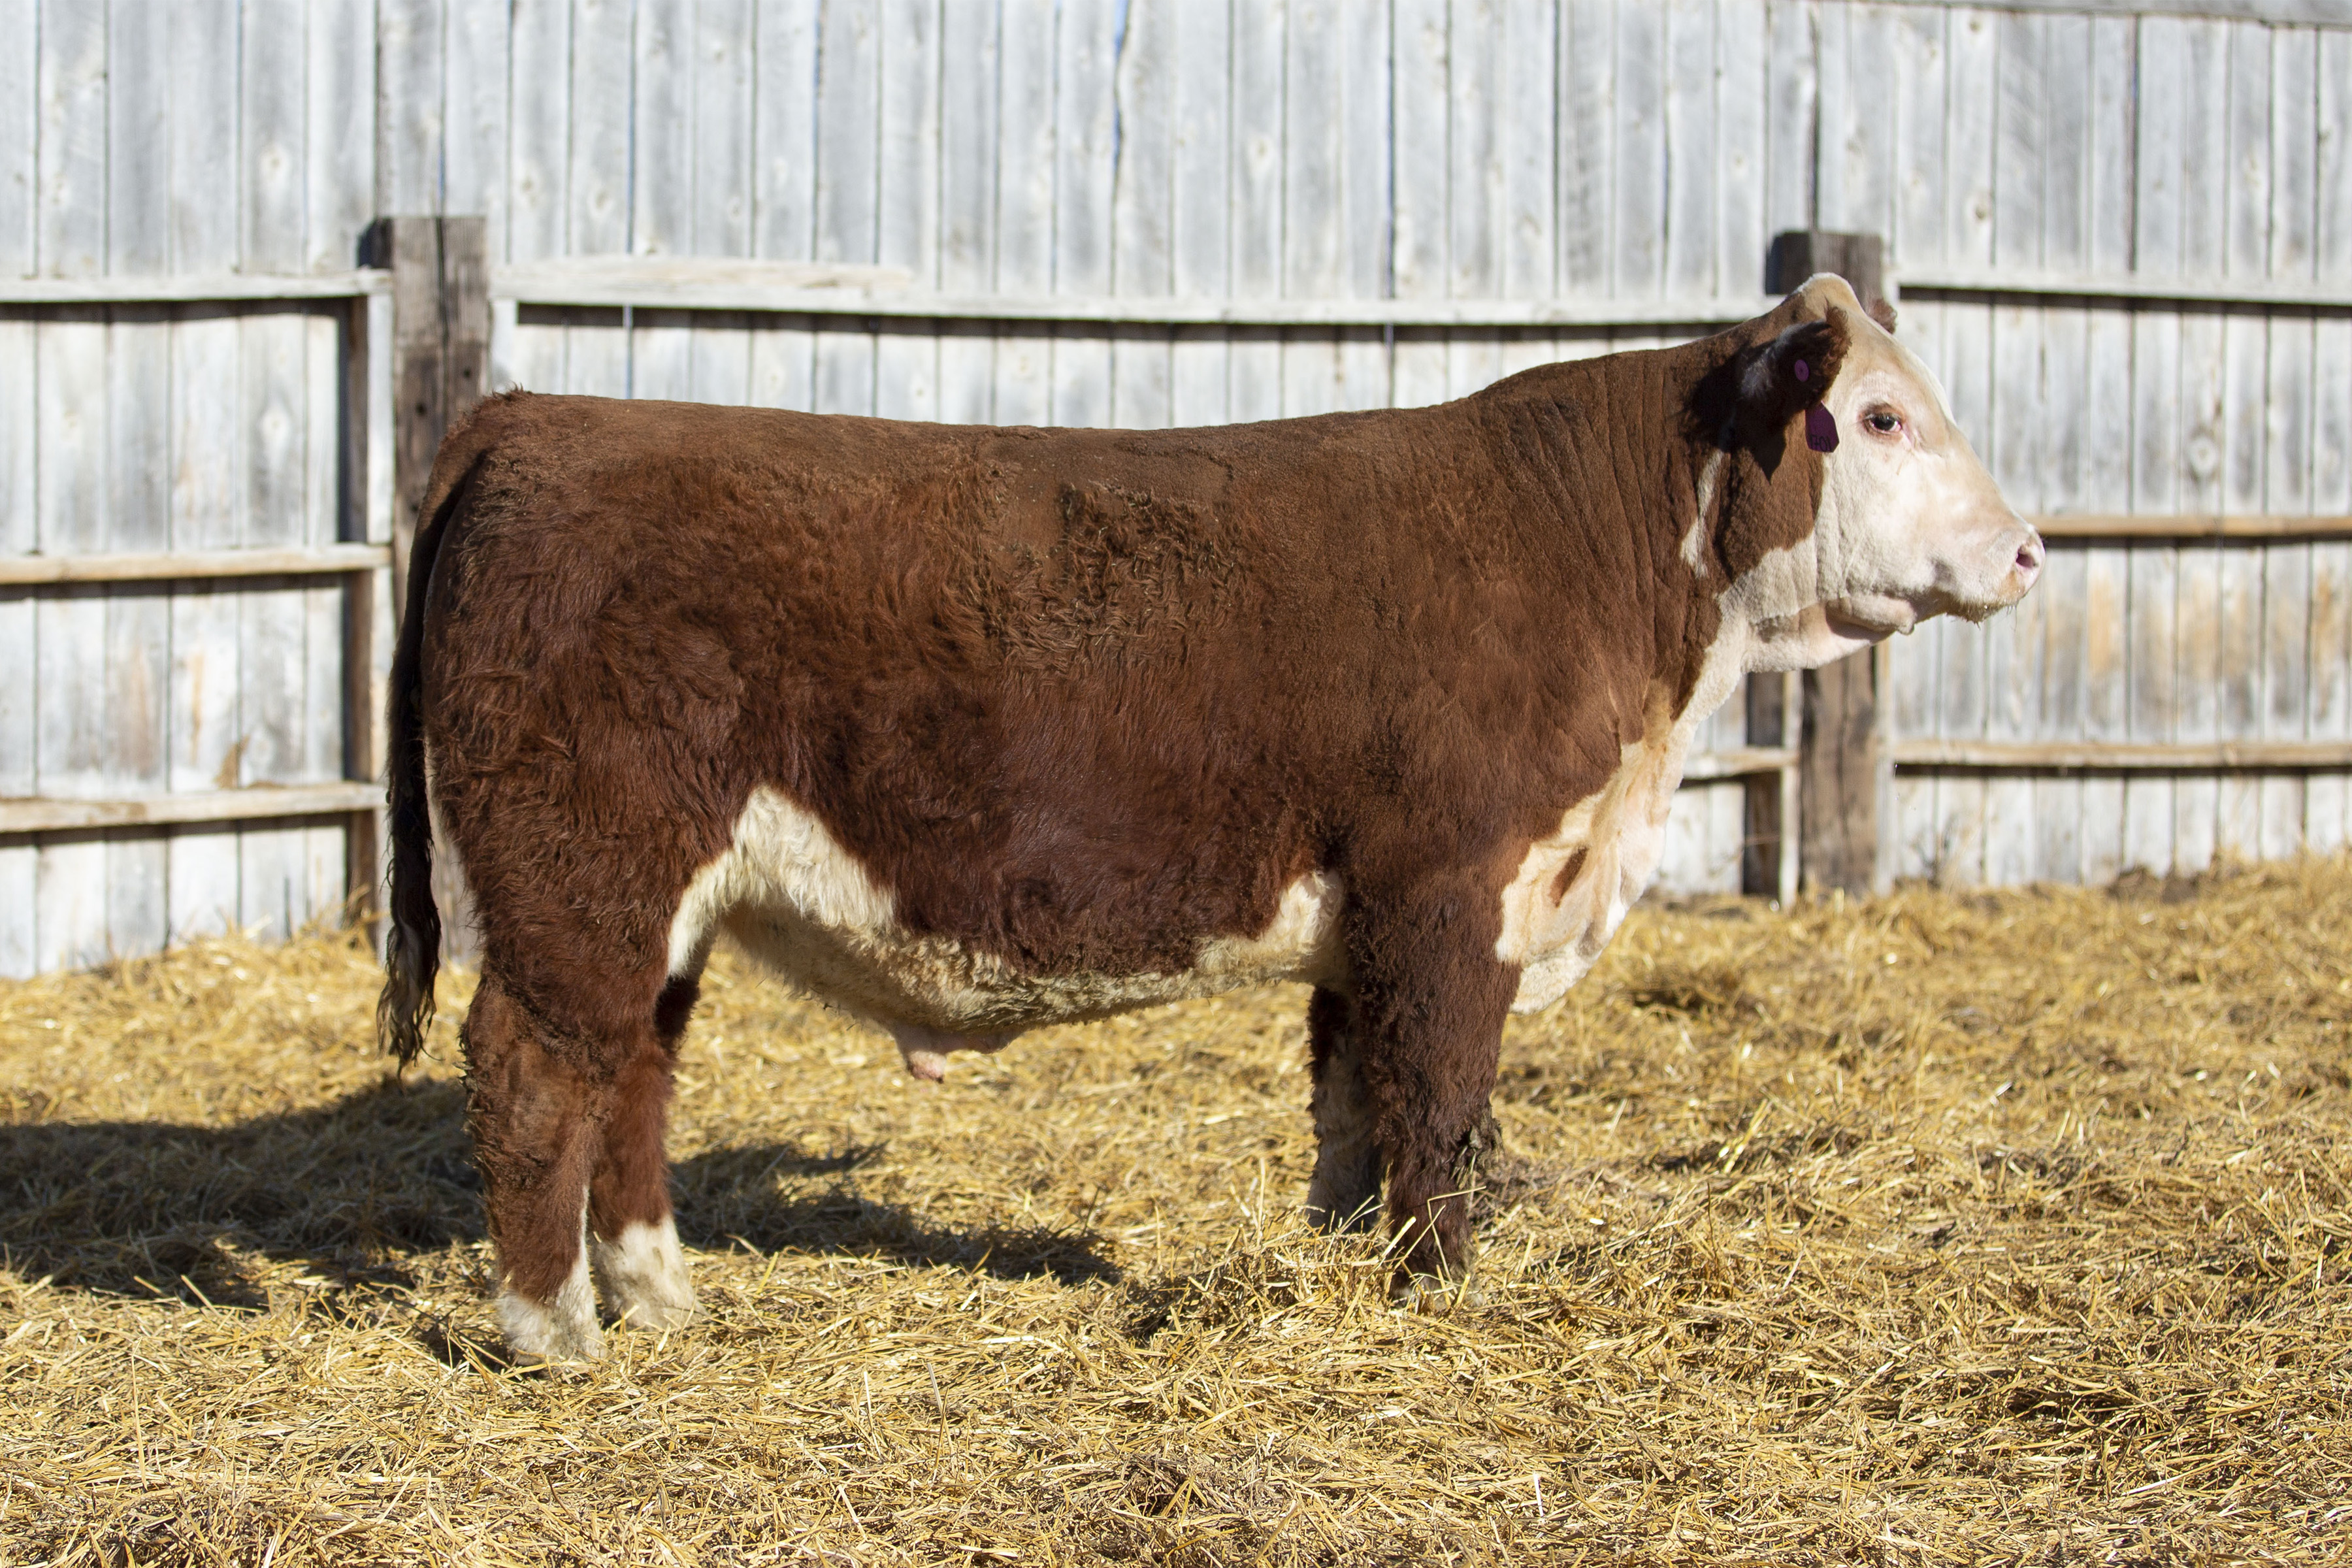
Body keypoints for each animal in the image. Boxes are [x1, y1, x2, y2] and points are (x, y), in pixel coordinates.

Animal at [378, 276, 2041, 1363]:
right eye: (1879, 417)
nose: (2028, 548)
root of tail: (534, 417)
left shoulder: (1370, 916)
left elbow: (1352, 1096)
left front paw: (1345, 1252)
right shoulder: (1452, 888)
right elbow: (1440, 1094)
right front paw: (1444, 1285)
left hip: (663, 900)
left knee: (633, 1074)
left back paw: (663, 1297)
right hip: (582, 869)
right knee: (535, 1065)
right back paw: (553, 1330)